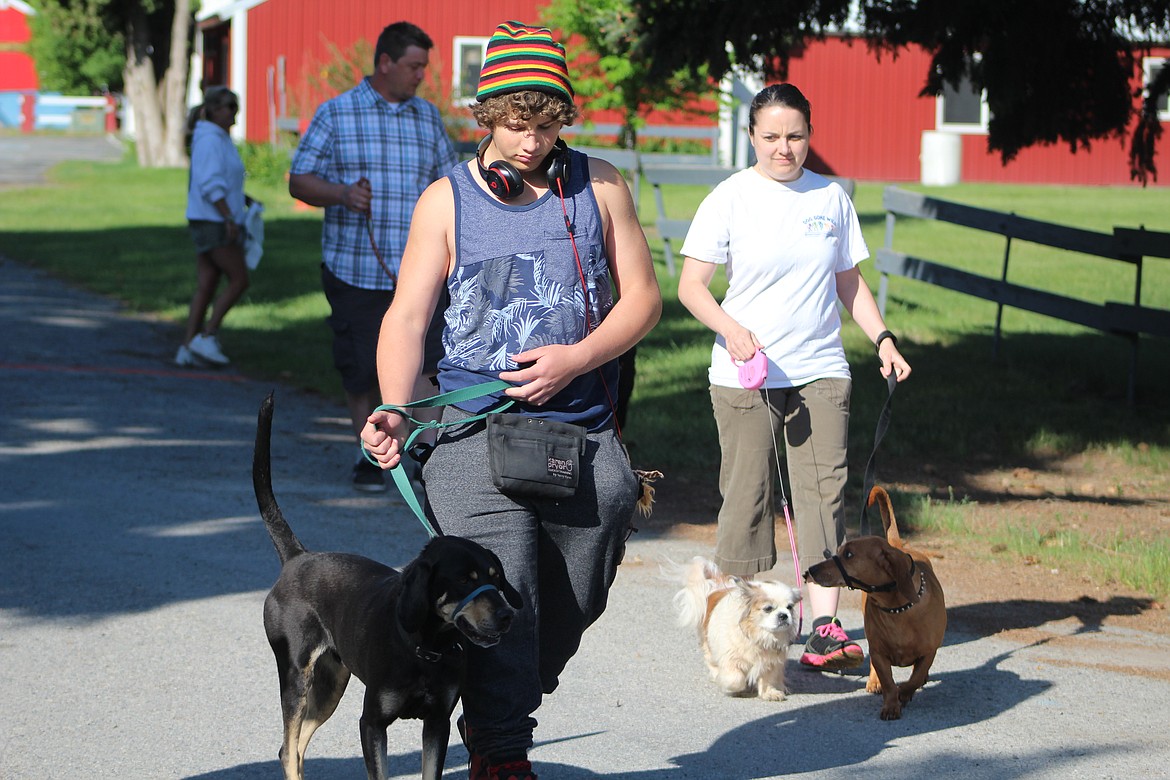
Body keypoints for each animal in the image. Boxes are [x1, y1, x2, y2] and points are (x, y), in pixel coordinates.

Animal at [673, 554, 800, 701]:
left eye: (789, 607)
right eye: (768, 608)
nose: (783, 615)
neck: (758, 635)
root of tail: (717, 586)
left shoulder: (771, 663)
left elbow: (768, 679)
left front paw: (770, 693)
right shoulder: (730, 659)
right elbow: (735, 679)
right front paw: (734, 688)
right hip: (710, 646)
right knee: (712, 662)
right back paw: (717, 675)